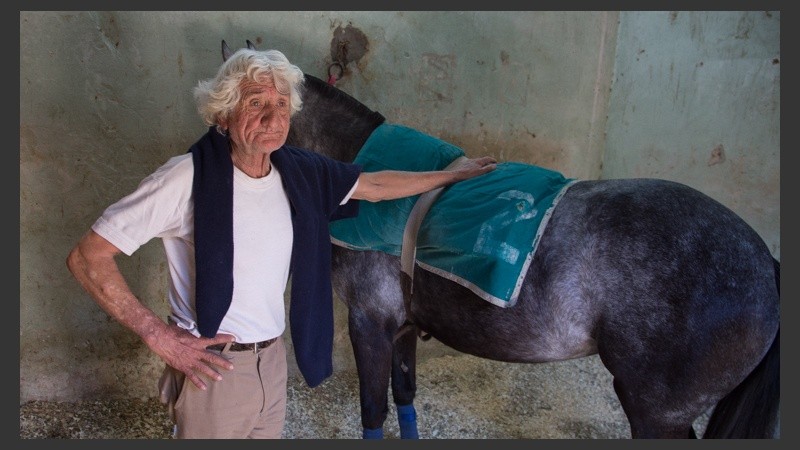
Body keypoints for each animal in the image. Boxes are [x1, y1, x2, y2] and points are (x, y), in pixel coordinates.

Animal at [226, 41, 780, 439]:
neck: (362, 171)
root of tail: (765, 264)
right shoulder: (402, 326)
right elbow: (405, 399)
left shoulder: (369, 322)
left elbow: (373, 411)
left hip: (656, 412)